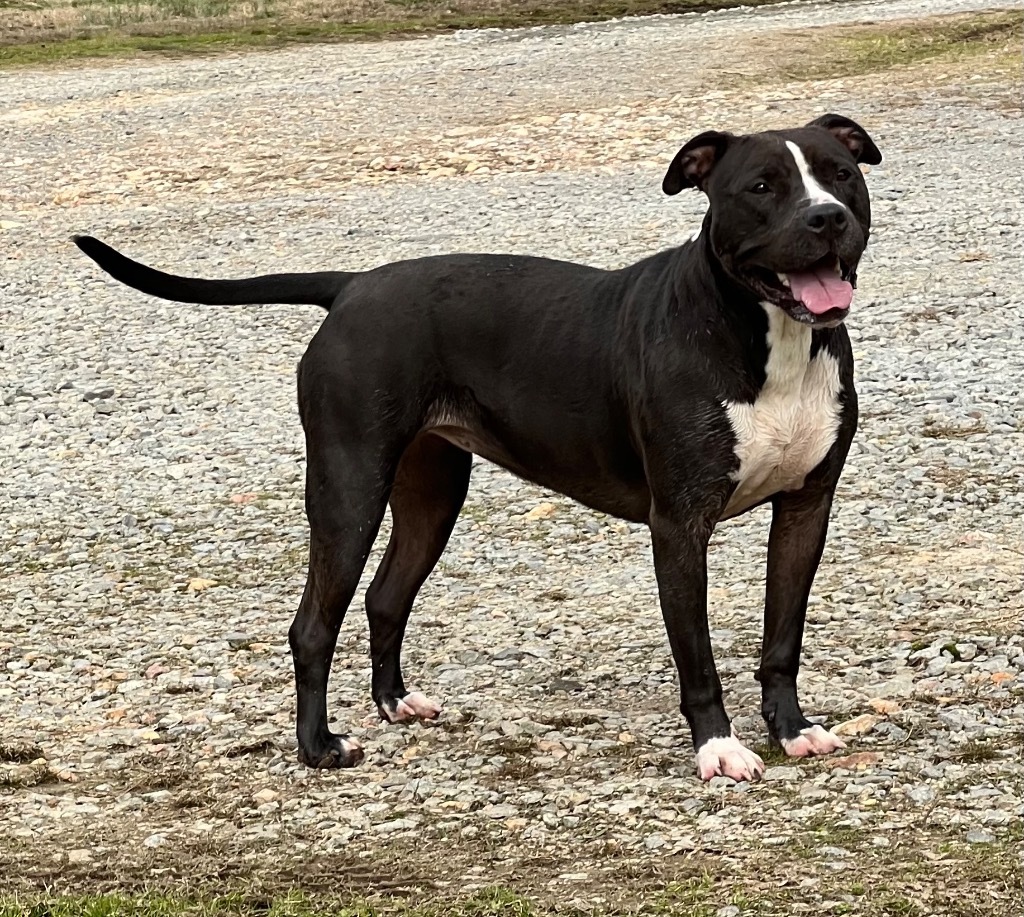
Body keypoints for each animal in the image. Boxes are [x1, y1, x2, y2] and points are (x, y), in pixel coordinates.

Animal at [75, 114, 884, 781]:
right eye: (761, 187)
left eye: (842, 173)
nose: (828, 217)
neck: (764, 336)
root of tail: (352, 286)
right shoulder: (679, 526)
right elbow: (698, 656)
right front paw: (719, 748)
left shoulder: (807, 509)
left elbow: (782, 637)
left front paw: (793, 730)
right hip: (348, 489)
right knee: (312, 624)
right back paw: (319, 746)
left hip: (431, 492)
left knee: (384, 596)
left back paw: (396, 703)